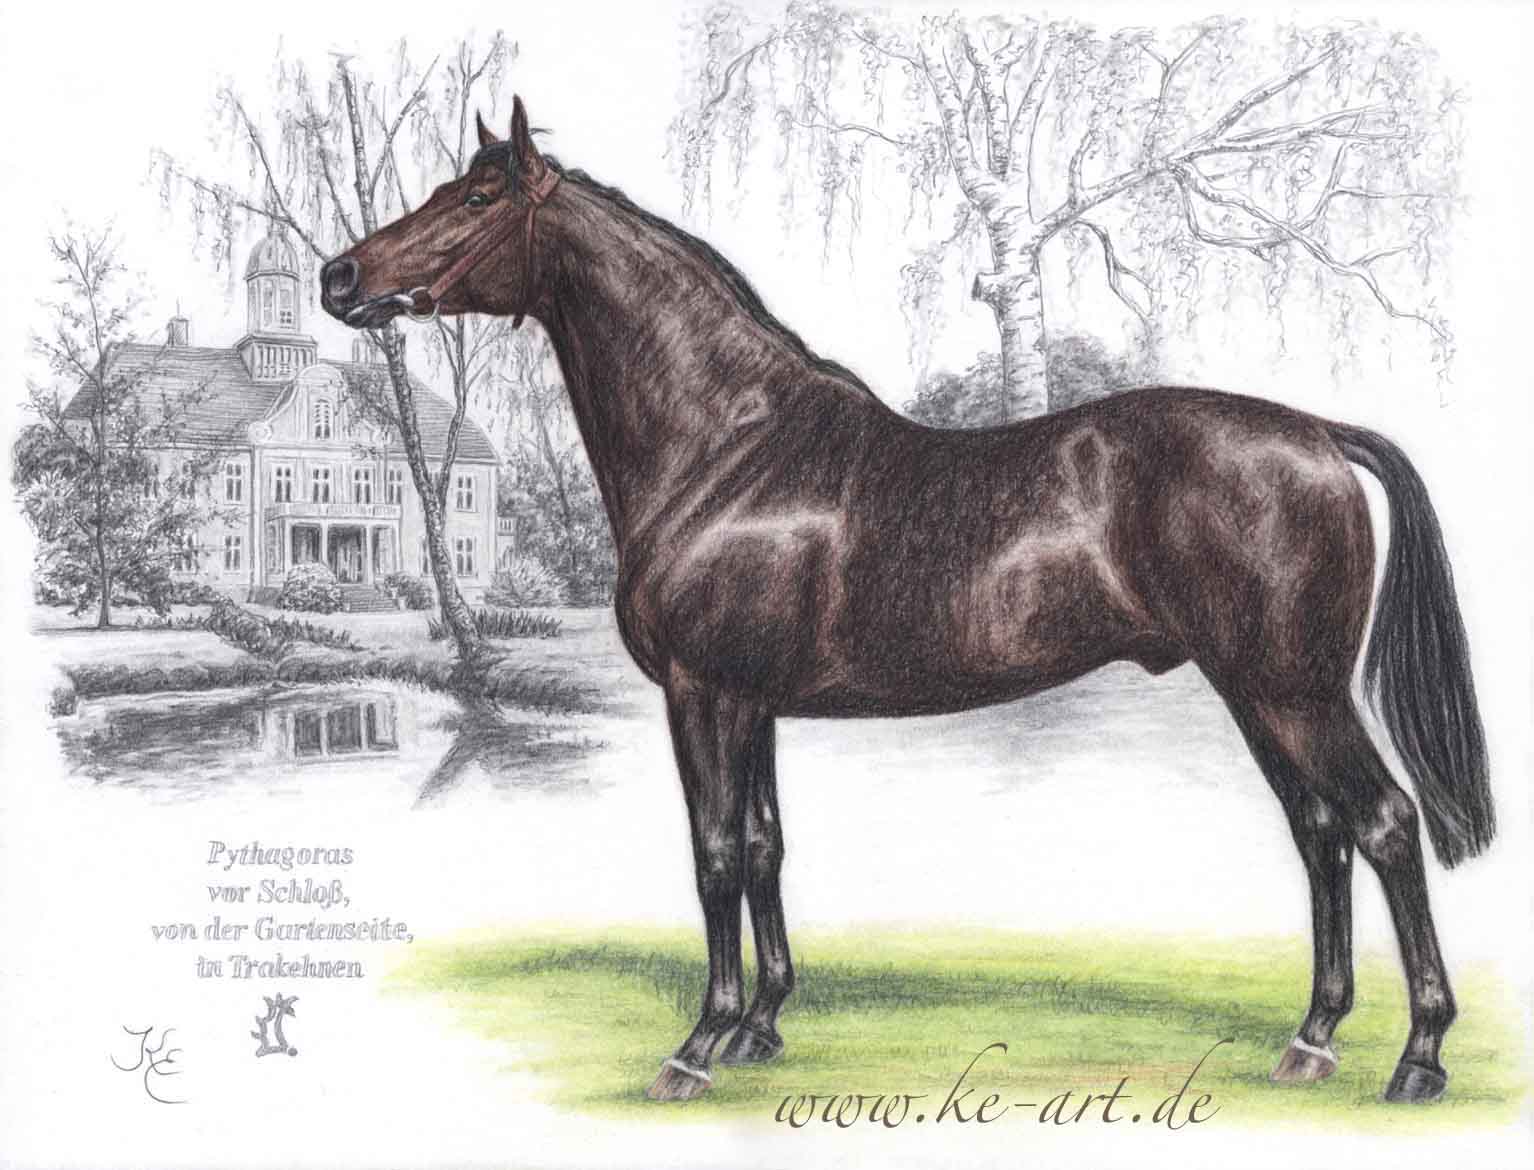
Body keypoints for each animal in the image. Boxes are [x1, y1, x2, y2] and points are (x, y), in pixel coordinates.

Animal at [320, 97, 1493, 1105]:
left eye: (477, 198)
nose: (339, 276)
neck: (731, 448)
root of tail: (1317, 435)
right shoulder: (754, 703)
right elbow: (764, 846)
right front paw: (762, 1029)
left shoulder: (705, 693)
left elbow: (713, 853)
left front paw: (698, 1045)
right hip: (1257, 693)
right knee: (1320, 832)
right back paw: (1312, 1040)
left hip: (1296, 693)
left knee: (1384, 824)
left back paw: (1418, 1058)